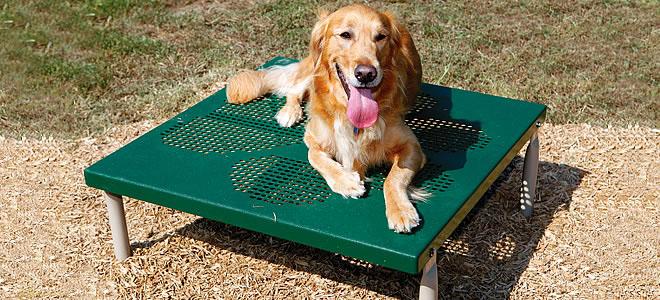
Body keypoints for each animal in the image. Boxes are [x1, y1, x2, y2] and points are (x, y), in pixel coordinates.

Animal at [226, 4, 422, 233]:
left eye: (381, 37)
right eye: (345, 34)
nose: (366, 74)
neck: (347, 112)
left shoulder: (412, 146)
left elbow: (394, 177)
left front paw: (400, 209)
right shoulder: (312, 137)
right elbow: (315, 157)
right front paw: (346, 181)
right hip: (313, 69)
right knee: (295, 89)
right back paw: (289, 113)